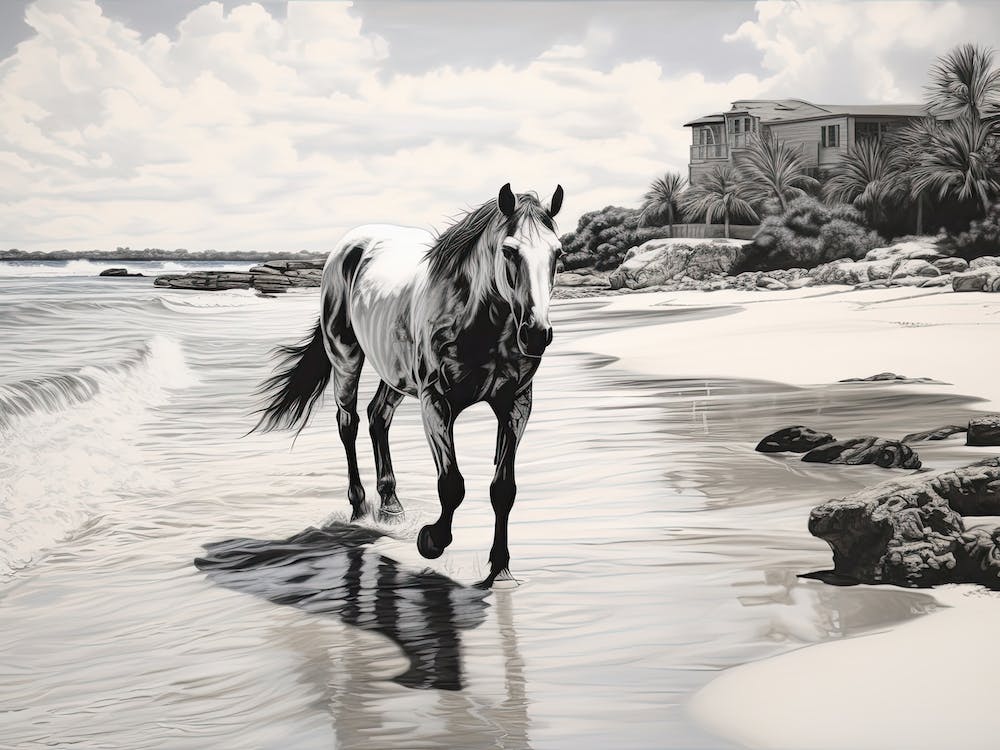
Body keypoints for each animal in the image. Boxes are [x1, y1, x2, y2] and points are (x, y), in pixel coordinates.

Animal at [251, 183, 564, 588]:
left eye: (557, 253)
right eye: (509, 251)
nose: (537, 334)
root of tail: (350, 244)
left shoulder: (516, 404)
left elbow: (503, 490)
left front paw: (500, 569)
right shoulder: (436, 402)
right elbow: (452, 484)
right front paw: (431, 541)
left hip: (394, 374)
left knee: (377, 416)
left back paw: (391, 507)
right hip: (346, 356)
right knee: (349, 422)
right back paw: (359, 507)